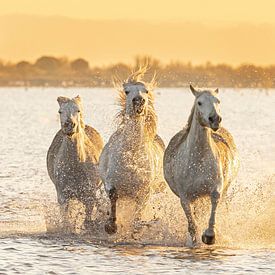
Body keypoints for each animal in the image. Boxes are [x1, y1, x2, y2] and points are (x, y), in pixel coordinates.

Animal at [47, 96, 104, 230]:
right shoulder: (63, 195)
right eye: (60, 111)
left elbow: (87, 220)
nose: (69, 125)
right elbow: (66, 220)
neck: (75, 165)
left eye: (78, 110)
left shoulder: (89, 195)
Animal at [99, 66, 166, 235]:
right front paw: (111, 226)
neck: (132, 157)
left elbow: (138, 214)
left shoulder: (144, 192)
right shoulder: (110, 182)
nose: (139, 101)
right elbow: (113, 195)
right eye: (127, 91)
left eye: (146, 91)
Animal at [164, 85, 239, 246]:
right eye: (199, 102)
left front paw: (209, 236)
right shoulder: (185, 197)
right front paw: (195, 242)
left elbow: (213, 210)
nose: (215, 119)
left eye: (218, 101)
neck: (198, 161)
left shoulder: (215, 190)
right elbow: (192, 224)